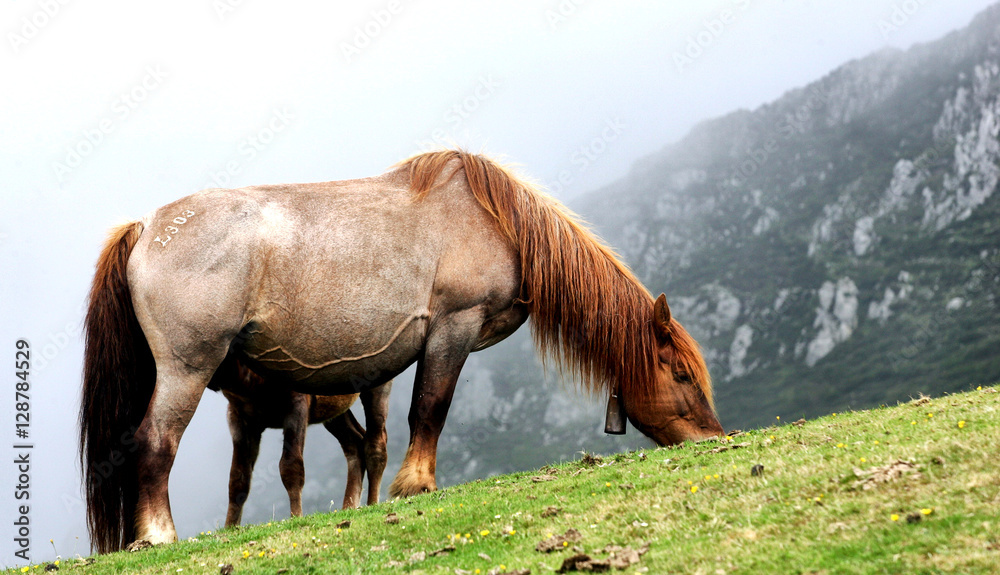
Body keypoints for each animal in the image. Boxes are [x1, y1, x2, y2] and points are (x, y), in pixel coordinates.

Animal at [207, 355, 391, 526]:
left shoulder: (297, 403)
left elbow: (291, 466)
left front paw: (296, 517)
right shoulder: (238, 415)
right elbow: (238, 478)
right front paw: (230, 527)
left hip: (377, 385)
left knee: (376, 442)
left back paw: (372, 503)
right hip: (333, 409)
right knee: (355, 441)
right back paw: (349, 507)